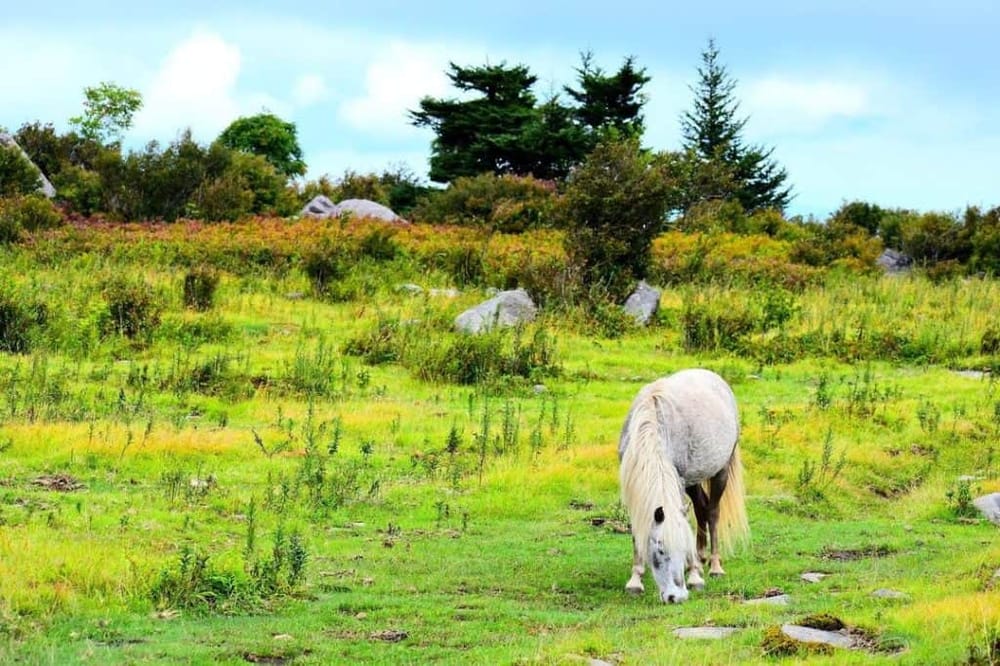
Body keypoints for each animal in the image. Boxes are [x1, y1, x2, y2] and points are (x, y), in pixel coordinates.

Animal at [618, 368, 749, 604]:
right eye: (660, 549)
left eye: (681, 547)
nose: (676, 597)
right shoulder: (634, 491)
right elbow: (637, 531)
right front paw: (635, 580)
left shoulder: (677, 483)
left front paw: (695, 575)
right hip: (693, 482)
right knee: (701, 507)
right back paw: (702, 557)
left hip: (720, 472)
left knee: (712, 511)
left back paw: (714, 566)